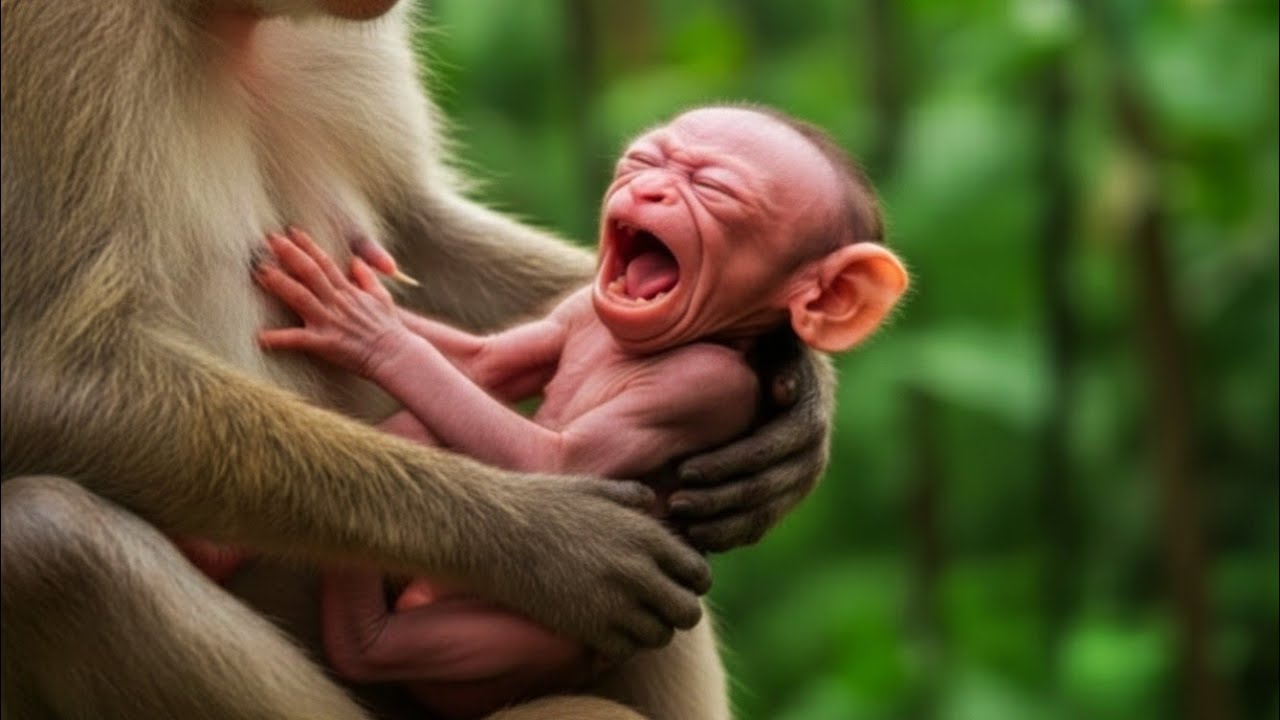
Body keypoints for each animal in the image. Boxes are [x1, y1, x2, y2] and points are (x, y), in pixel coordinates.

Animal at [0, 2, 838, 718]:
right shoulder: (63, 29)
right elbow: (49, 382)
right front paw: (548, 543)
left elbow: (416, 235)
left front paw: (800, 386)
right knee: (48, 545)